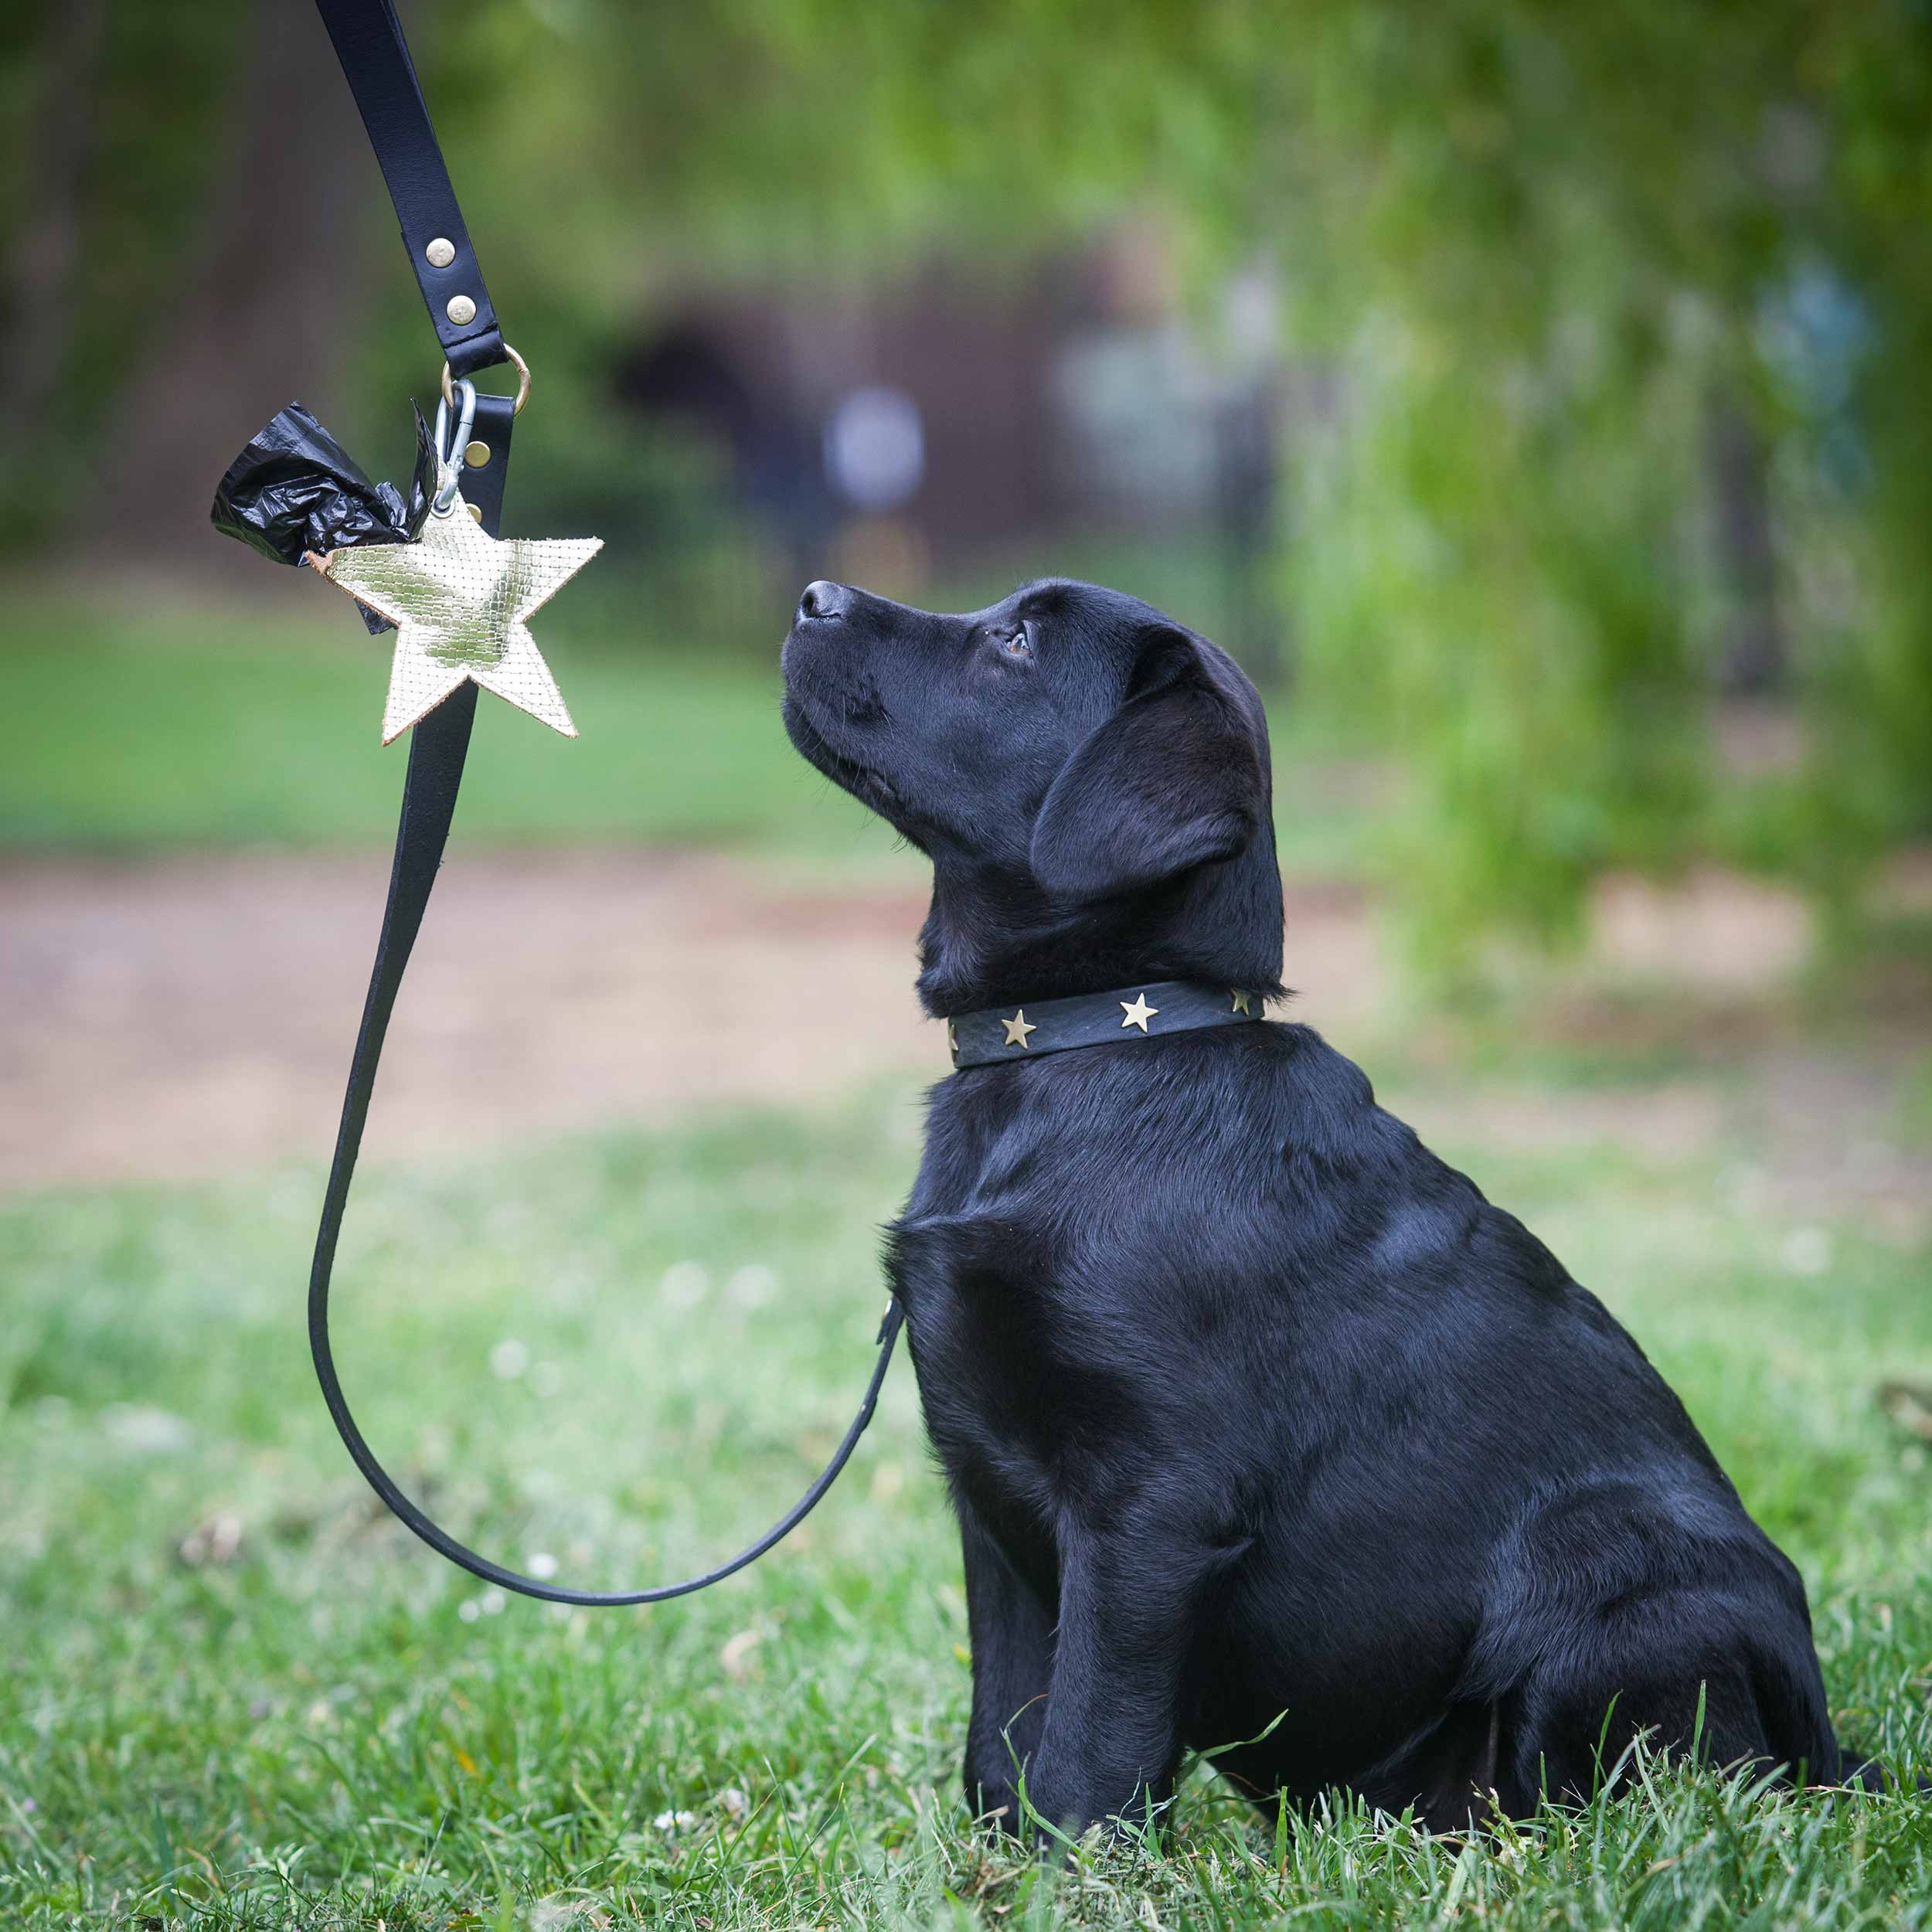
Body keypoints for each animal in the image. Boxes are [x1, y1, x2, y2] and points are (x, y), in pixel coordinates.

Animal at [781, 576, 1839, 1839]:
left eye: (1017, 640)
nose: (813, 595)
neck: (1103, 1044)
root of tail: (1837, 1751)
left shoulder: (1151, 1505)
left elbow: (1088, 1748)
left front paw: (1068, 1868)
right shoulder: (989, 1499)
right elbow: (1002, 1743)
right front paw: (992, 1866)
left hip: (1615, 1573)